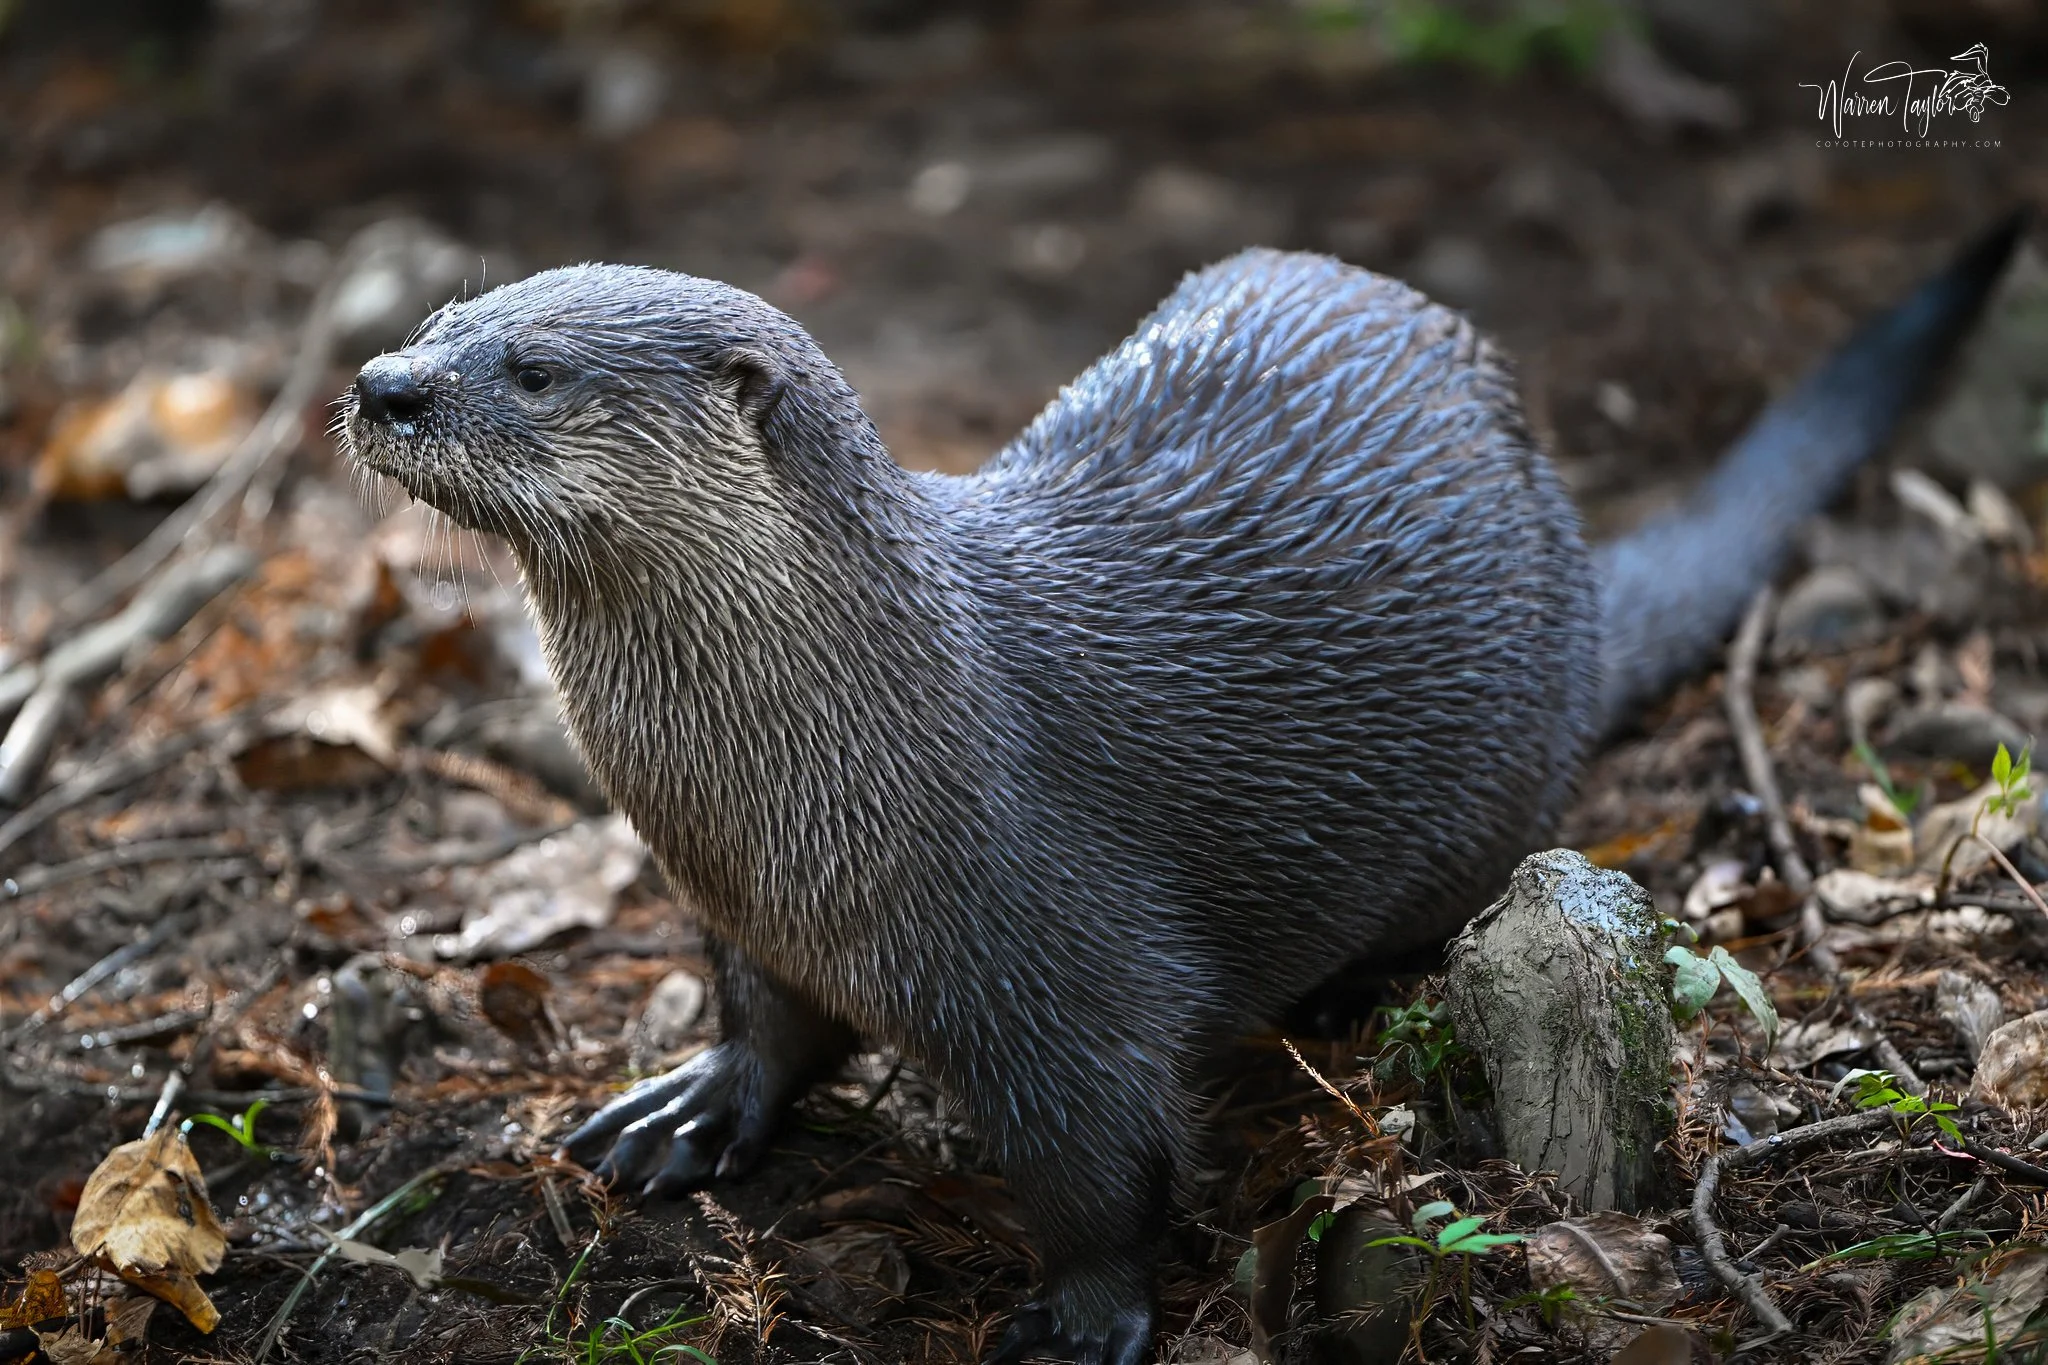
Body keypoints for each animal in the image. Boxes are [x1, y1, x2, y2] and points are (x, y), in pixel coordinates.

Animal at [344, 217, 2020, 1364]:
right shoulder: (747, 912)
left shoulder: (1055, 968)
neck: (818, 783)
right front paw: (692, 1107)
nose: (383, 383)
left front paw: (1083, 1319)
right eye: (441, 315)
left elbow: (1102, 1167)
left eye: (537, 370)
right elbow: (768, 1025)